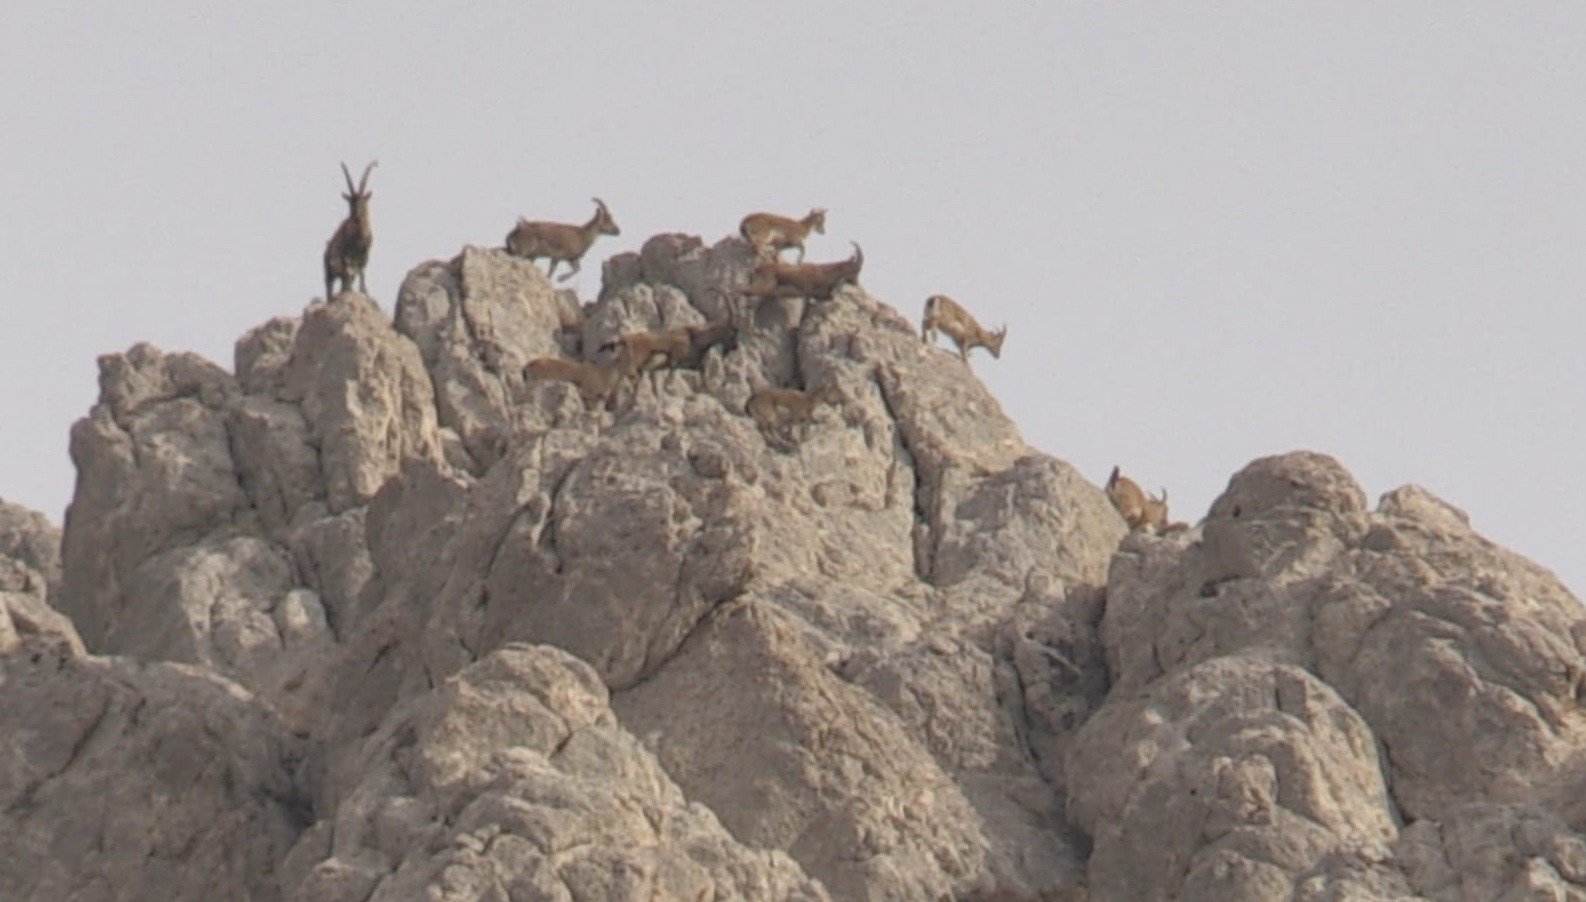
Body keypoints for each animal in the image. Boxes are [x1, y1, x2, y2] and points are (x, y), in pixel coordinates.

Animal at [325, 160, 377, 299]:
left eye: (363, 200)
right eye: (350, 202)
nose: (355, 215)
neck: (360, 234)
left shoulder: (364, 255)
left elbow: (362, 273)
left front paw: (365, 292)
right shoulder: (347, 255)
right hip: (329, 272)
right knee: (332, 286)